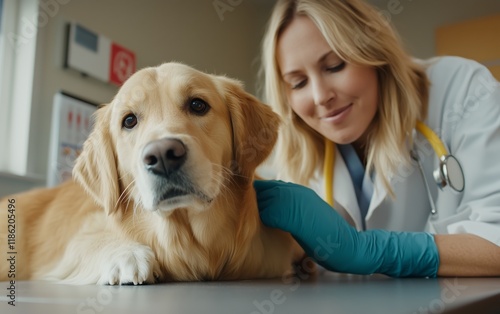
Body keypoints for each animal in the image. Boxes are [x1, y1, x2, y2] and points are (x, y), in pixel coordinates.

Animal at [0, 61, 304, 284]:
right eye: (129, 121)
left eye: (198, 105)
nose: (162, 156)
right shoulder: (77, 236)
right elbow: (86, 240)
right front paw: (127, 254)